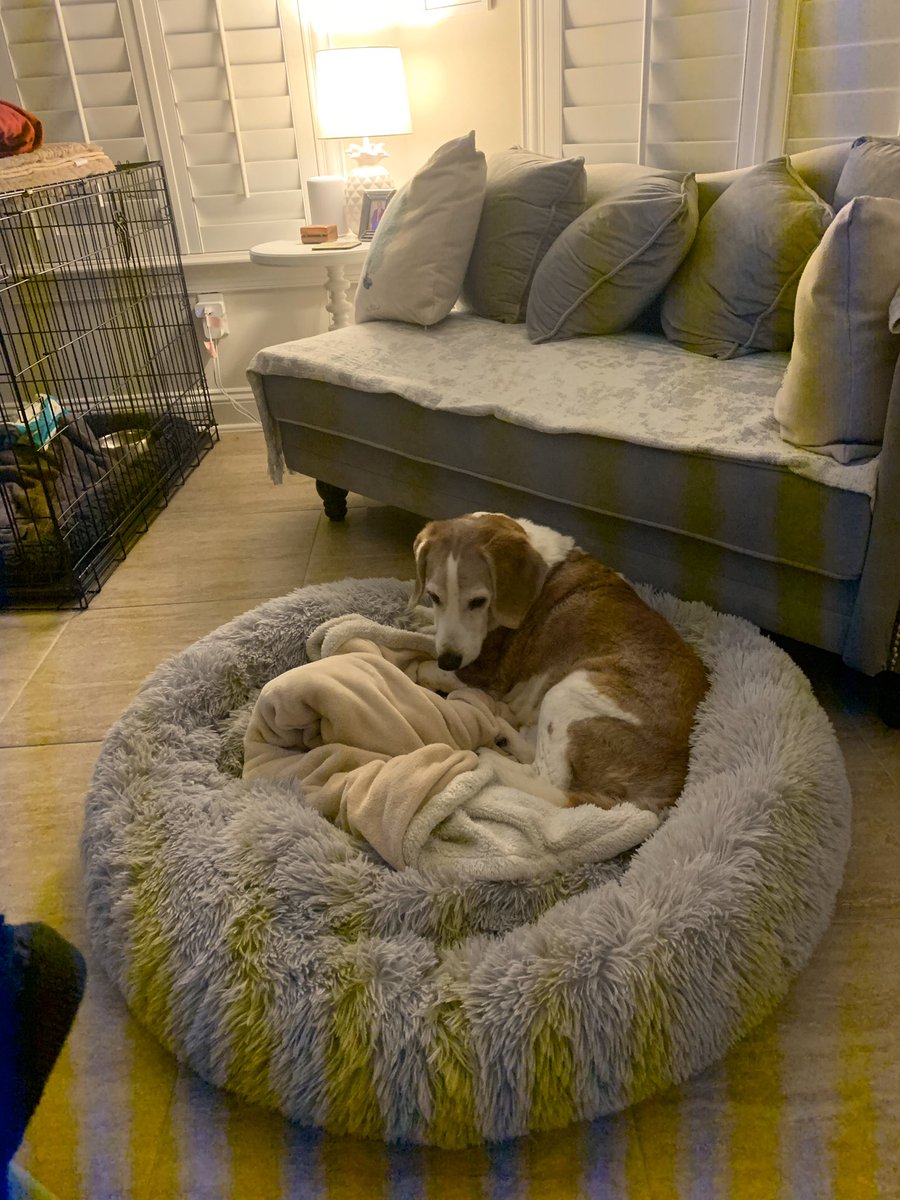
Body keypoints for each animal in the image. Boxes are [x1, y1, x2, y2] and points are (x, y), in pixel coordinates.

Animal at [410, 513, 709, 814]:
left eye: (478, 601)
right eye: (434, 596)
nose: (448, 661)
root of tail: (665, 790)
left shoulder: (487, 674)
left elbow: (426, 665)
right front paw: (421, 617)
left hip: (568, 692)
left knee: (546, 780)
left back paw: (489, 756)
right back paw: (503, 731)